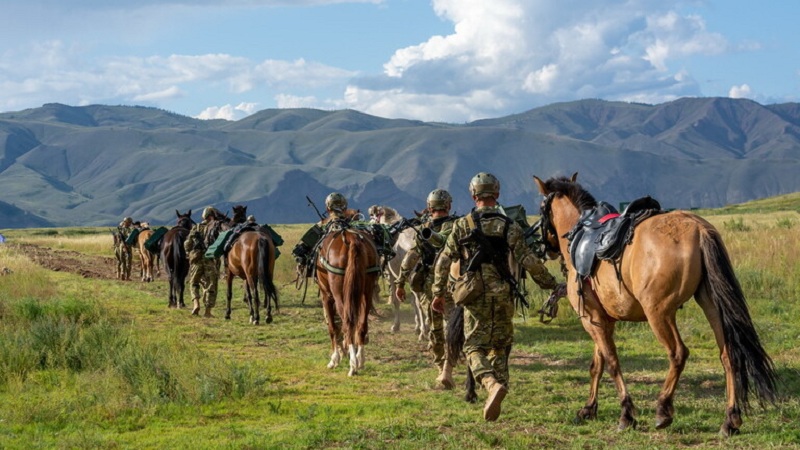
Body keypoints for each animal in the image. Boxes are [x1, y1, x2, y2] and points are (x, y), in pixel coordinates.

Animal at [316, 214, 381, 376]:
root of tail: (352, 238)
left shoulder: (326, 296)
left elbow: (333, 328)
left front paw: (334, 359)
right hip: (366, 291)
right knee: (361, 325)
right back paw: (360, 360)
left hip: (339, 295)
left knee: (348, 323)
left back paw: (353, 365)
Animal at [533, 173, 777, 435]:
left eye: (541, 208)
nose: (544, 248)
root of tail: (699, 228)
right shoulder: (602, 320)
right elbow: (597, 364)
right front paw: (588, 409)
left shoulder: (591, 319)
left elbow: (612, 363)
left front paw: (626, 414)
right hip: (713, 307)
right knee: (728, 356)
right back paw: (730, 419)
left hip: (658, 313)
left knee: (678, 353)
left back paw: (663, 409)